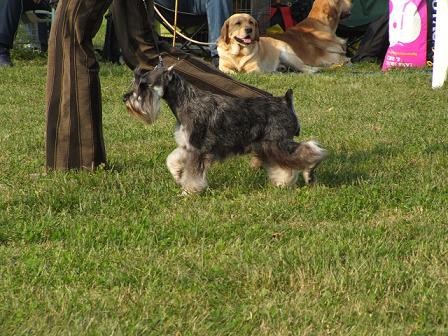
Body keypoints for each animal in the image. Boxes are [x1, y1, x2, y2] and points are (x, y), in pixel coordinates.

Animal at [124, 66, 328, 194]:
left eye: (144, 85)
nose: (125, 98)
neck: (186, 101)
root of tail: (285, 102)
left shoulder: (198, 149)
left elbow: (193, 174)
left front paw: (188, 192)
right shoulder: (187, 146)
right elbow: (171, 159)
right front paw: (176, 175)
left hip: (277, 143)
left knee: (307, 151)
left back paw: (311, 167)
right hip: (268, 146)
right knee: (284, 165)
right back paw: (282, 183)